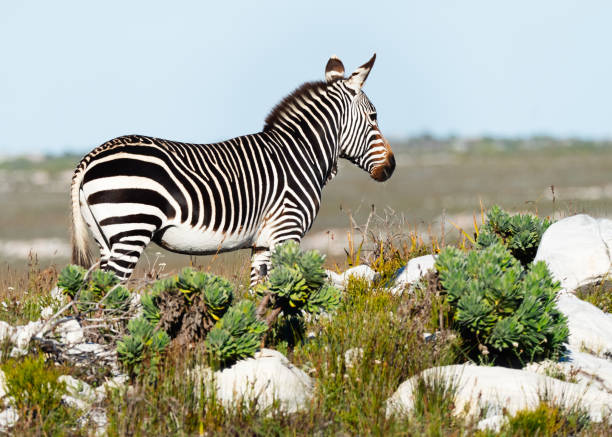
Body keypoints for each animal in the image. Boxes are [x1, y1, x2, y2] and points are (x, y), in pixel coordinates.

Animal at [70, 53, 396, 282]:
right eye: (374, 117)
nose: (391, 167)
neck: (299, 154)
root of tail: (91, 157)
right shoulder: (287, 232)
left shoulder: (263, 244)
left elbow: (260, 294)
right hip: (131, 228)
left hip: (106, 239)